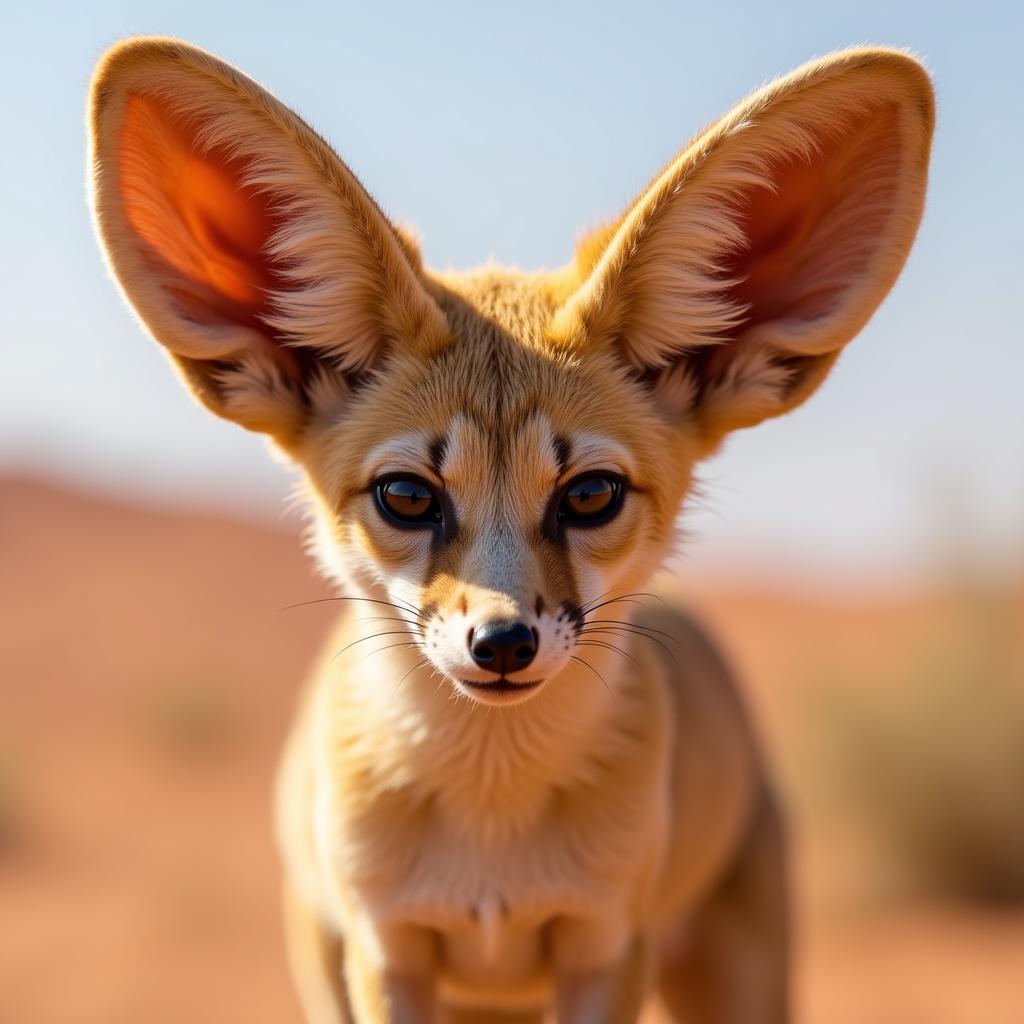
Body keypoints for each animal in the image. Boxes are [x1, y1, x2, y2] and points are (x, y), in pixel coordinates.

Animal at [90, 36, 937, 1019]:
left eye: (591, 495)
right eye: (407, 496)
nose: (502, 643)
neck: (490, 839)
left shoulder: (604, 947)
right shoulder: (387, 952)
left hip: (740, 978)